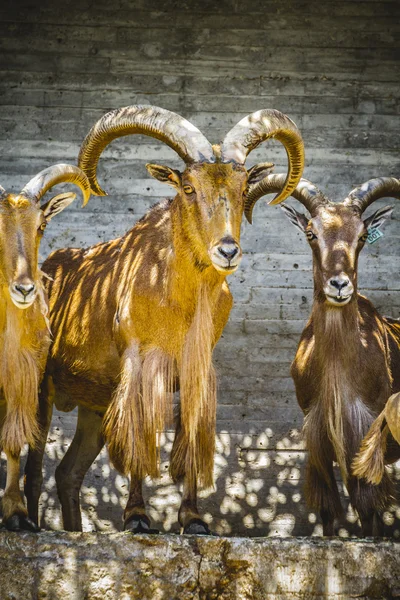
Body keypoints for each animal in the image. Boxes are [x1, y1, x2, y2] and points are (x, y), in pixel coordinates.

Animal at [25, 105, 304, 532]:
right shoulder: (139, 366)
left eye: (242, 189)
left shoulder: (195, 369)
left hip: (93, 406)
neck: (177, 294)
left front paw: (193, 519)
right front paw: (138, 517)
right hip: (43, 387)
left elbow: (189, 438)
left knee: (68, 473)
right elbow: (139, 439)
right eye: (188, 188)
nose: (227, 251)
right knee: (35, 469)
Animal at [245, 173, 400, 536]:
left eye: (361, 236)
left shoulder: (364, 431)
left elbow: (368, 504)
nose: (339, 285)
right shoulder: (317, 430)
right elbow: (328, 505)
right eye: (310, 233)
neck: (335, 368)